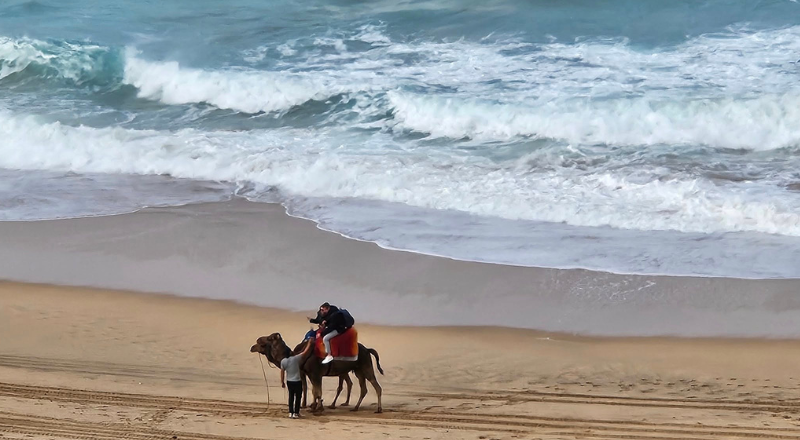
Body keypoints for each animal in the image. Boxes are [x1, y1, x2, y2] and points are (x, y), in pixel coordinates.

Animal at [252, 334, 386, 412]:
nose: (254, 345)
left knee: (376, 386)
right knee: (363, 388)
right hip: (358, 370)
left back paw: (379, 409)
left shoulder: (315, 373)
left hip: (366, 367)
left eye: (269, 338)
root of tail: (367, 349)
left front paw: (315, 407)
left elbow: (315, 390)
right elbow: (314, 390)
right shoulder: (310, 374)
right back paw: (355, 407)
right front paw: (314, 405)